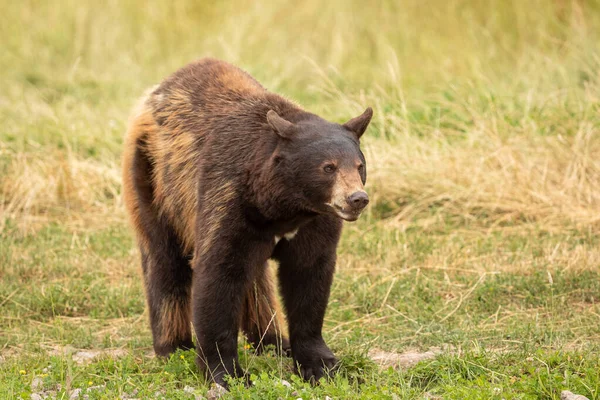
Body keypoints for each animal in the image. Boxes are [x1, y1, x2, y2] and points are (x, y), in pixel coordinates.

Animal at [122, 57, 372, 386]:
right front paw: (225, 371)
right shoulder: (226, 195)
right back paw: (174, 346)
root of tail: (153, 94)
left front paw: (321, 363)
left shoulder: (316, 221)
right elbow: (218, 273)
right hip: (155, 180)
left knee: (256, 280)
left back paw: (272, 341)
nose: (357, 198)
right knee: (165, 260)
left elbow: (309, 274)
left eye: (359, 165)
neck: (282, 206)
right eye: (328, 167)